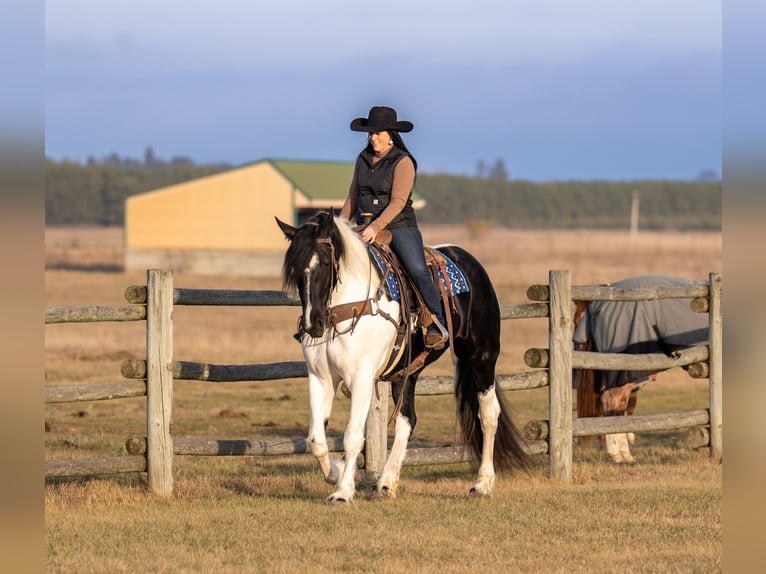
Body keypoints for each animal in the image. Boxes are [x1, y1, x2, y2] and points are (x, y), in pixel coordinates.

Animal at [278, 212, 536, 504]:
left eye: (323, 262)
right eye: (296, 272)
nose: (313, 325)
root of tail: (469, 262)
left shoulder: (361, 378)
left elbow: (353, 436)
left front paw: (342, 492)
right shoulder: (320, 378)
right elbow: (316, 440)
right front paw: (338, 471)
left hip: (481, 357)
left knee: (489, 415)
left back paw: (482, 484)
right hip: (407, 372)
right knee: (407, 420)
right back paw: (386, 483)